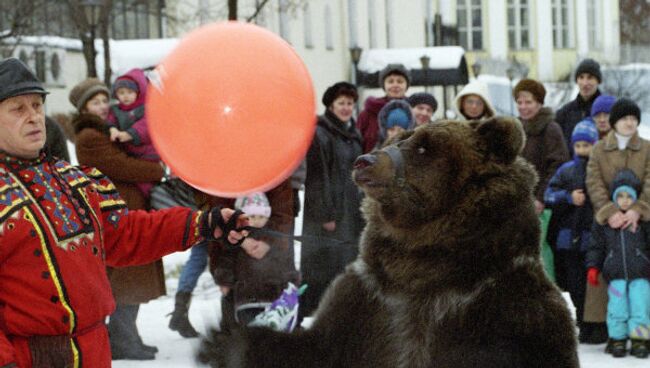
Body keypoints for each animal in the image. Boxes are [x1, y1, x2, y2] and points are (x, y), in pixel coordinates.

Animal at [199, 118, 576, 368]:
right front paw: (224, 341)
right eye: (398, 137)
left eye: (424, 146)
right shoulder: (369, 297)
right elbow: (315, 347)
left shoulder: (505, 309)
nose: (364, 160)